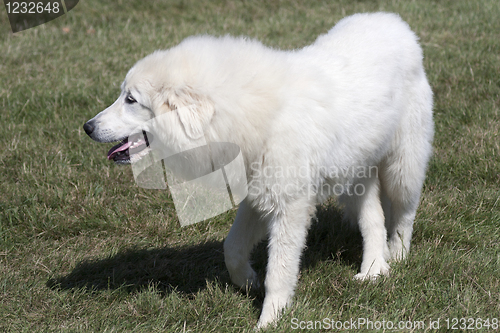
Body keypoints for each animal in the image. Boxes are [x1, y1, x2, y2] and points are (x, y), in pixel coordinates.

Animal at [84, 12, 432, 326]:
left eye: (131, 100)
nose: (87, 127)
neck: (248, 112)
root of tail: (396, 23)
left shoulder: (289, 208)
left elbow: (279, 271)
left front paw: (269, 320)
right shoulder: (256, 198)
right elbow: (232, 248)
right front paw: (248, 282)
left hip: (402, 167)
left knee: (403, 213)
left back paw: (397, 255)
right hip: (355, 173)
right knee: (373, 218)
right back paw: (373, 269)